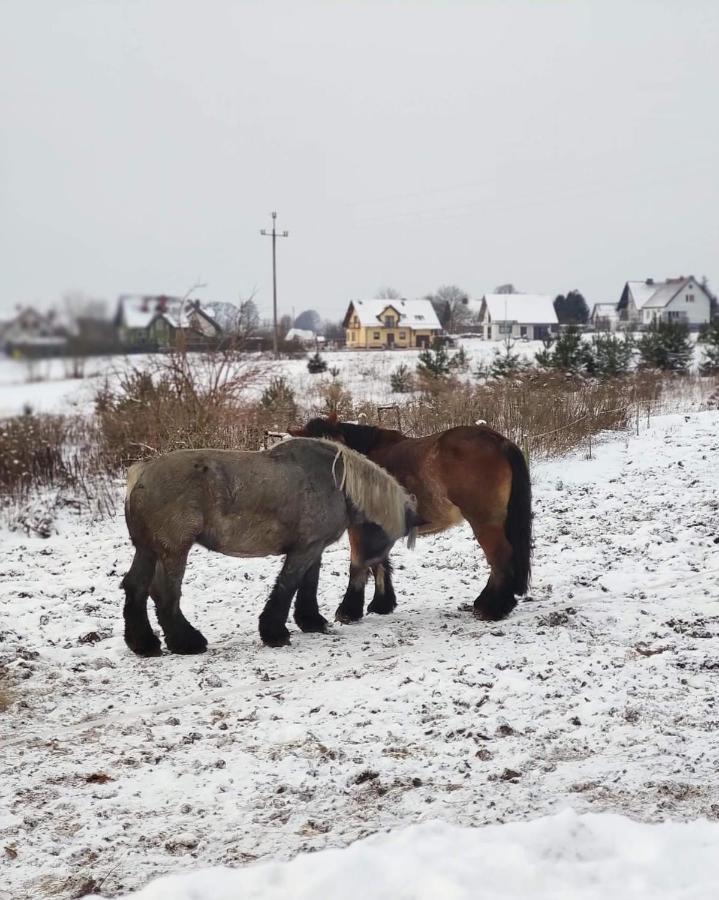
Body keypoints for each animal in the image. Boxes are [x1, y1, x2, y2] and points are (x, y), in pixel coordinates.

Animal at [121, 436, 420, 652]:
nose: (382, 599)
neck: (336, 482)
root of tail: (142, 473)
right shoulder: (304, 550)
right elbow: (287, 587)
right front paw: (274, 633)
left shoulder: (313, 548)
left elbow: (307, 585)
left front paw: (311, 621)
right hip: (174, 551)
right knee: (166, 595)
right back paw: (187, 643)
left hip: (148, 550)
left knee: (137, 587)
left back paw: (144, 644)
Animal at [290, 416, 532, 624]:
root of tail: (496, 440)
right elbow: (379, 563)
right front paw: (382, 604)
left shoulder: (359, 529)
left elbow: (359, 564)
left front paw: (348, 611)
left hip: (484, 521)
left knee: (500, 557)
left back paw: (491, 608)